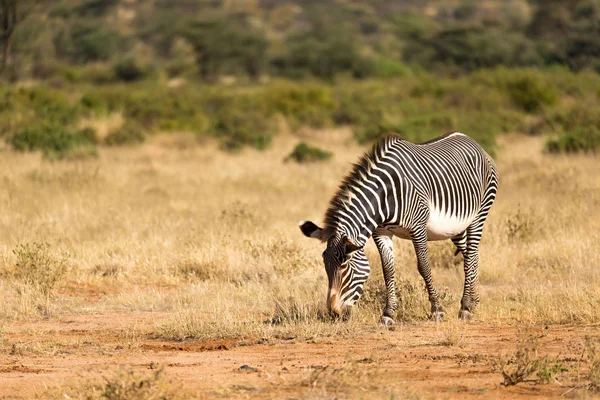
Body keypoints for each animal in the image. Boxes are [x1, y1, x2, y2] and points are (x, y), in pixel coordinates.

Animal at [298, 132, 496, 324]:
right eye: (325, 265)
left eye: (344, 266)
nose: (334, 313)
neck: (385, 197)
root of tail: (471, 141)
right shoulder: (381, 231)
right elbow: (388, 269)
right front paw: (388, 314)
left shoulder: (418, 227)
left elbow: (424, 266)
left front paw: (437, 310)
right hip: (456, 227)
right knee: (471, 255)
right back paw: (473, 301)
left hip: (479, 214)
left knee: (470, 256)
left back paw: (466, 308)